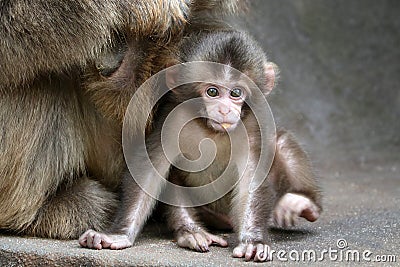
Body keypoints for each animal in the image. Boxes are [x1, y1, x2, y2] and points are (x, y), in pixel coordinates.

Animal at [79, 30, 322, 262]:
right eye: (212, 91)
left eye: (236, 93)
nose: (224, 110)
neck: (211, 130)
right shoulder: (172, 118)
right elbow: (151, 167)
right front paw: (118, 234)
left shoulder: (254, 123)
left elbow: (253, 174)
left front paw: (253, 241)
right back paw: (191, 231)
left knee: (281, 142)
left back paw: (299, 201)